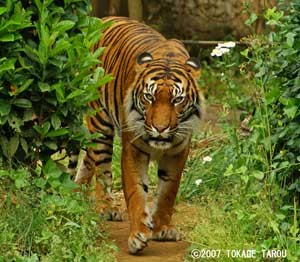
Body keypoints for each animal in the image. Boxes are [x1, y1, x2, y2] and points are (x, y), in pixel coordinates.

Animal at [69, 16, 204, 254]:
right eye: (149, 97)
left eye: (177, 100)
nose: (160, 128)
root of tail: (99, 20)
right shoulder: (134, 149)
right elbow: (135, 191)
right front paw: (138, 236)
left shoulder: (178, 152)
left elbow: (168, 192)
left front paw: (162, 229)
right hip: (100, 124)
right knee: (101, 168)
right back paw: (107, 207)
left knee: (88, 160)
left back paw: (78, 194)